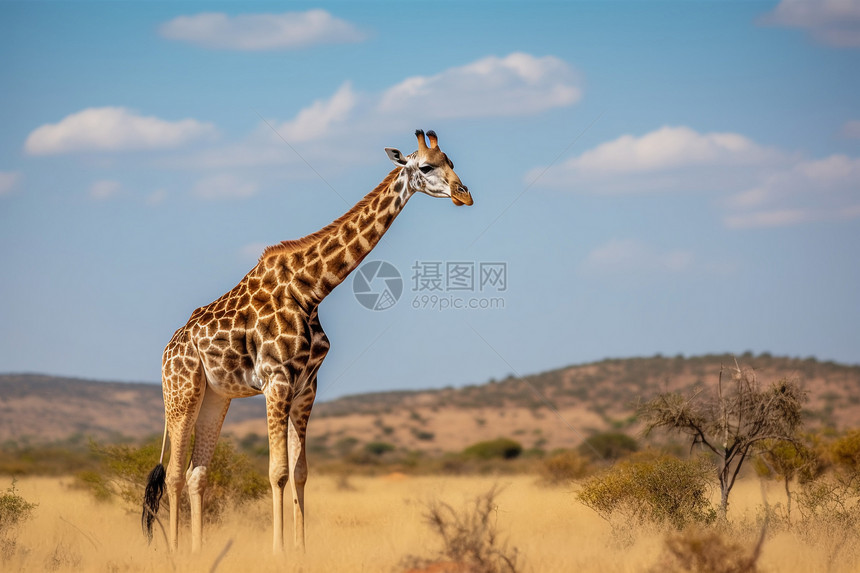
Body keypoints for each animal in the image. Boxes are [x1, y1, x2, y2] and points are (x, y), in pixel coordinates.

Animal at [144, 131, 474, 556]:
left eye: (451, 161)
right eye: (426, 166)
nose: (464, 195)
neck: (313, 289)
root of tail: (168, 349)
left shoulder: (306, 386)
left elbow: (300, 472)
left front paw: (302, 550)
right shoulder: (277, 382)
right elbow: (278, 472)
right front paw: (279, 552)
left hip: (215, 396)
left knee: (196, 472)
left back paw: (199, 552)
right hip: (181, 391)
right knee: (172, 475)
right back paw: (174, 553)